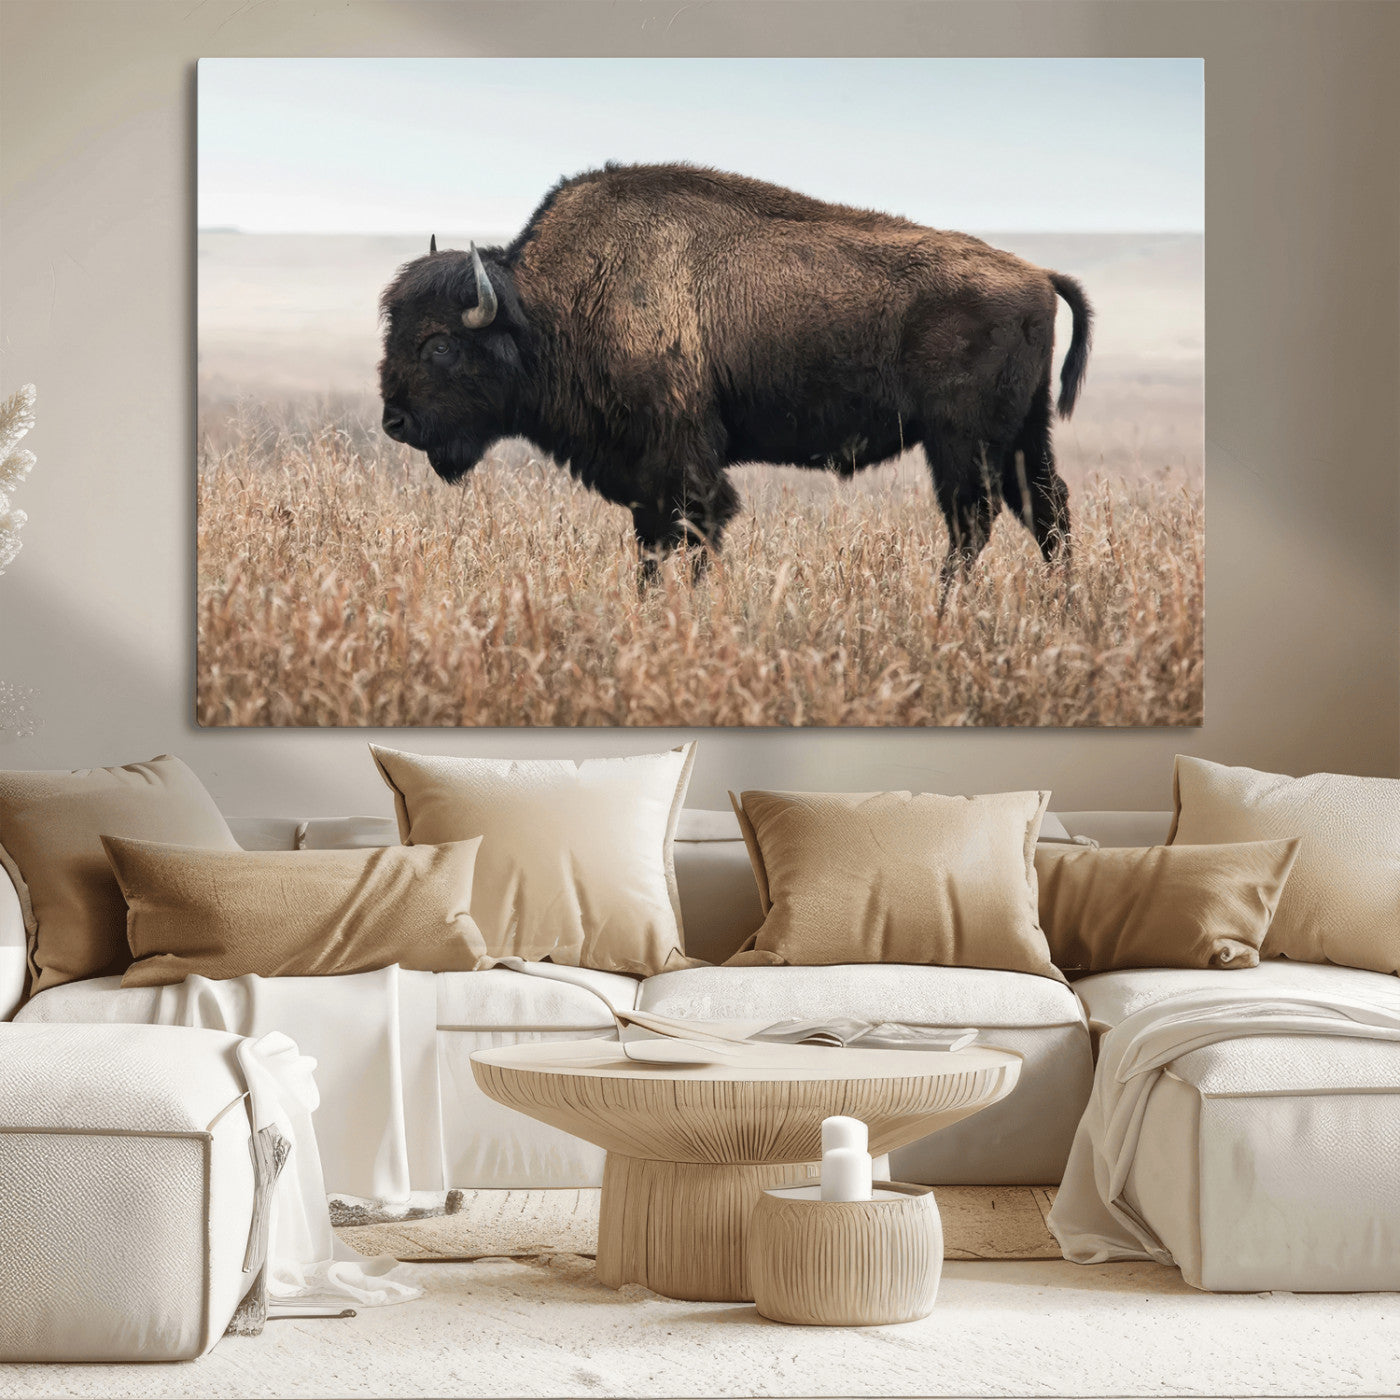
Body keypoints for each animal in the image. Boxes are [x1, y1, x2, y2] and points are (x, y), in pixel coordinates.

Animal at [379, 162, 1091, 585]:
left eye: (439, 346)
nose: (394, 422)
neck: (549, 306)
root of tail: (1036, 274)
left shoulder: (682, 463)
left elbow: (693, 532)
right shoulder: (646, 477)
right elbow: (653, 544)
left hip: (961, 441)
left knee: (974, 520)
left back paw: (946, 608)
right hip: (1022, 435)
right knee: (1046, 510)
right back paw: (1061, 607)